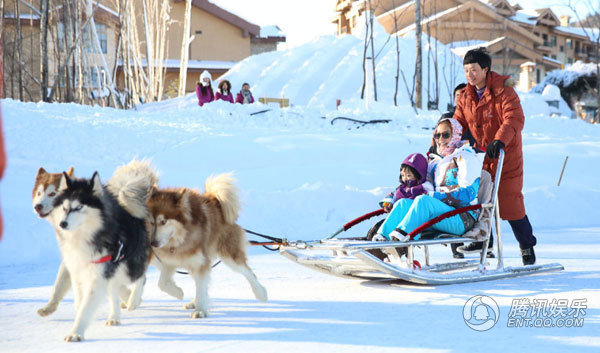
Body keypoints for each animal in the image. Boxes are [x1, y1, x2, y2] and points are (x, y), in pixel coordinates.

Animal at [145, 172, 268, 318]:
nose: (153, 243)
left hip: (228, 255)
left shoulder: (200, 262)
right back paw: (194, 301)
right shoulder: (169, 262)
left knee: (248, 272)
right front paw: (179, 293)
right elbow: (162, 284)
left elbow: (201, 287)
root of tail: (216, 201)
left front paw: (201, 309)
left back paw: (261, 293)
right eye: (151, 222)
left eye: (163, 221)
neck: (180, 240)